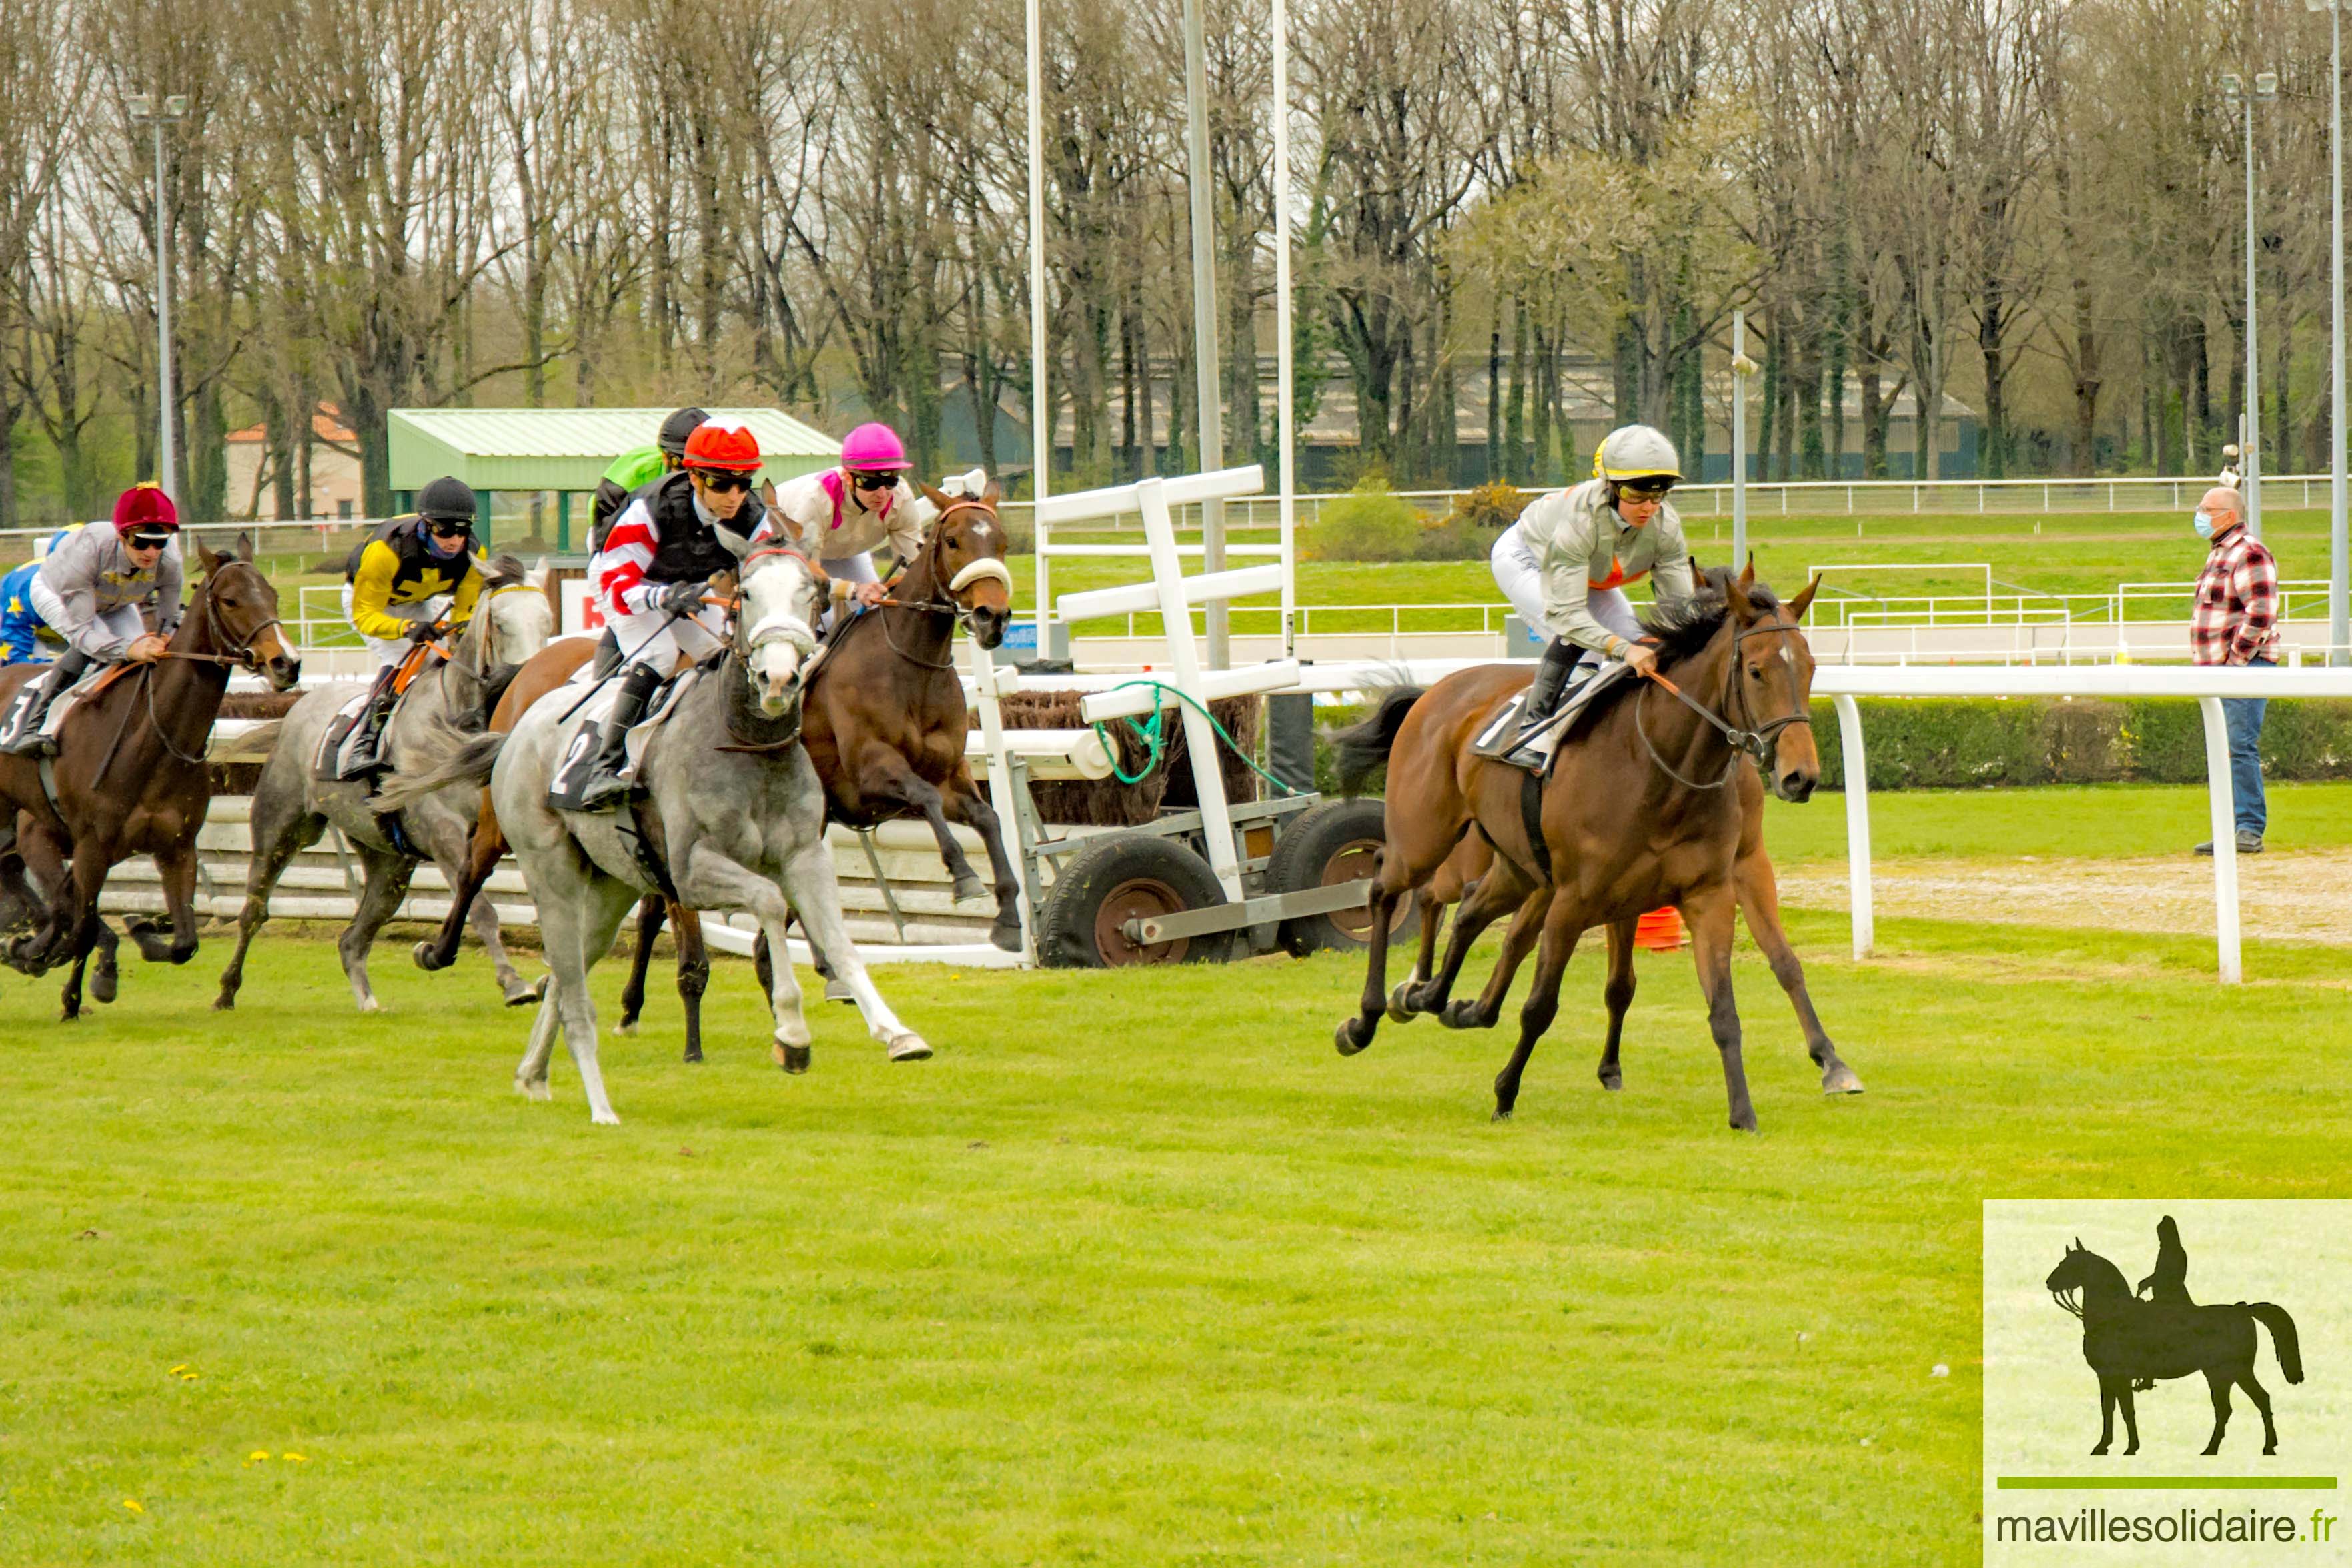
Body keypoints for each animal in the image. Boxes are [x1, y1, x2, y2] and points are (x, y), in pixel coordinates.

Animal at [0, 540, 301, 1024]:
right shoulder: (85, 846)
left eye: (273, 595)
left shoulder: (177, 847)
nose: (286, 663)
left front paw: (141, 930)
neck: (153, 740)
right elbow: (80, 924)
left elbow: (184, 941)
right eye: (230, 600)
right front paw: (69, 988)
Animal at [213, 557, 555, 1010]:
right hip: (281, 828)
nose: (527, 679)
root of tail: (296, 710)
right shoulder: (444, 831)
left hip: (388, 863)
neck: (456, 721)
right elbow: (482, 908)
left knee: (352, 940)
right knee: (254, 909)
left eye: (548, 620)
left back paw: (369, 1003)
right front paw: (514, 983)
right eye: (500, 623)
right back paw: (226, 991)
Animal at [374, 545, 917, 1123]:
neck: (744, 743)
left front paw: (897, 1033)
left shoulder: (805, 856)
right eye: (747, 592)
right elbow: (769, 901)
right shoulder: (691, 870)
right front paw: (791, 1033)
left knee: (567, 972)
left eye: (813, 591)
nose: (778, 679)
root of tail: (518, 726)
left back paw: (533, 1072)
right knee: (502, 897)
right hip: (546, 865)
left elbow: (840, 942)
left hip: (611, 887)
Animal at [1335, 564, 1844, 1128]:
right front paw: (1505, 1093)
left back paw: (1431, 996)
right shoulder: (1575, 898)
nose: (1801, 775)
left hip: (1517, 865)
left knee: (1468, 909)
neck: (1661, 765)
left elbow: (1731, 1000)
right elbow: (1540, 1005)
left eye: (1811, 667)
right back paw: (1368, 1018)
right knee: (1389, 885)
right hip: (1426, 837)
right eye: (1756, 671)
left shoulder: (1711, 888)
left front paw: (1749, 1109)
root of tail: (1435, 690)